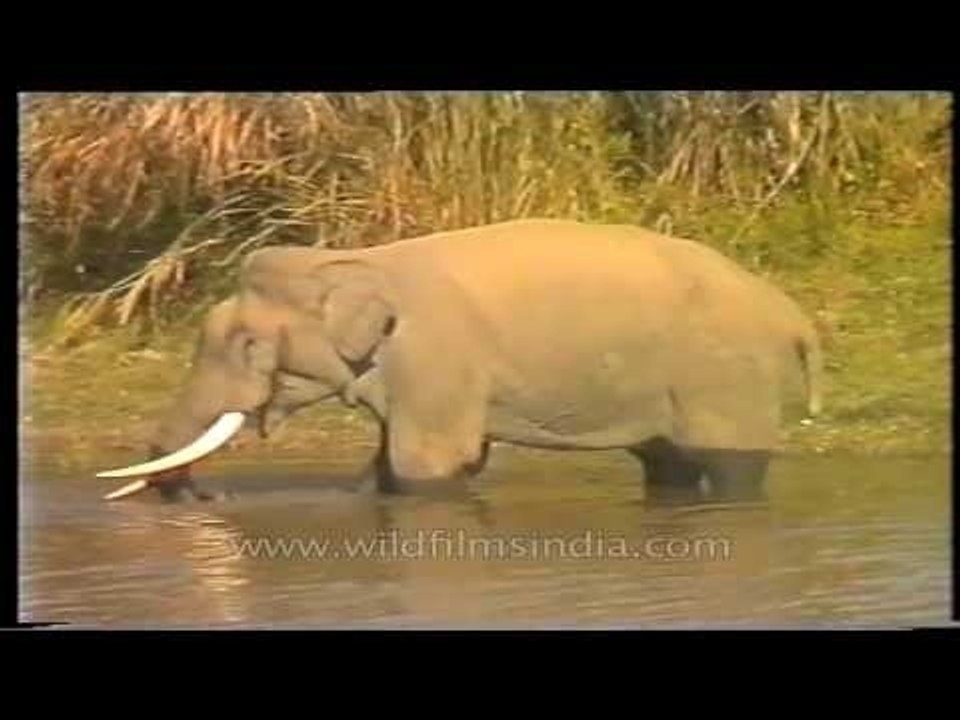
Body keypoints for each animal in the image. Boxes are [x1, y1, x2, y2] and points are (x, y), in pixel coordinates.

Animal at [98, 218, 823, 502]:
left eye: (248, 345)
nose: (211, 493)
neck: (356, 260)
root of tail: (792, 314)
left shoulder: (435, 356)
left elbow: (428, 462)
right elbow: (390, 465)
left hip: (726, 376)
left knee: (730, 466)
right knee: (667, 465)